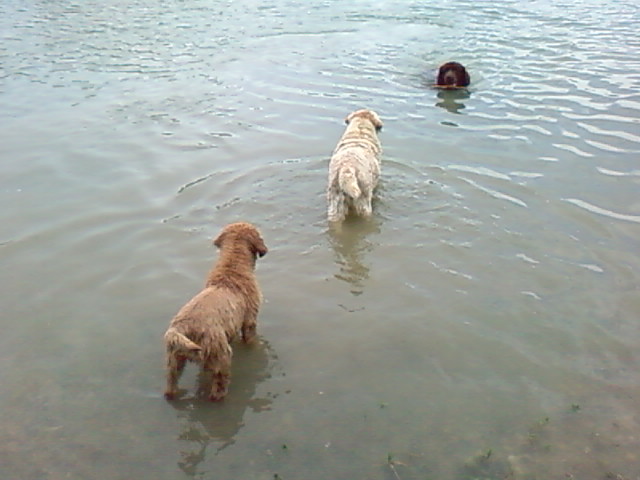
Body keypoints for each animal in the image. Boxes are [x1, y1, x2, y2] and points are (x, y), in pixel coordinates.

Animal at [163, 222, 268, 401]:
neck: (231, 267)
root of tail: (182, 330)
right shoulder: (250, 320)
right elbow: (249, 338)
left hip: (174, 360)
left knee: (171, 384)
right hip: (221, 355)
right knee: (218, 386)